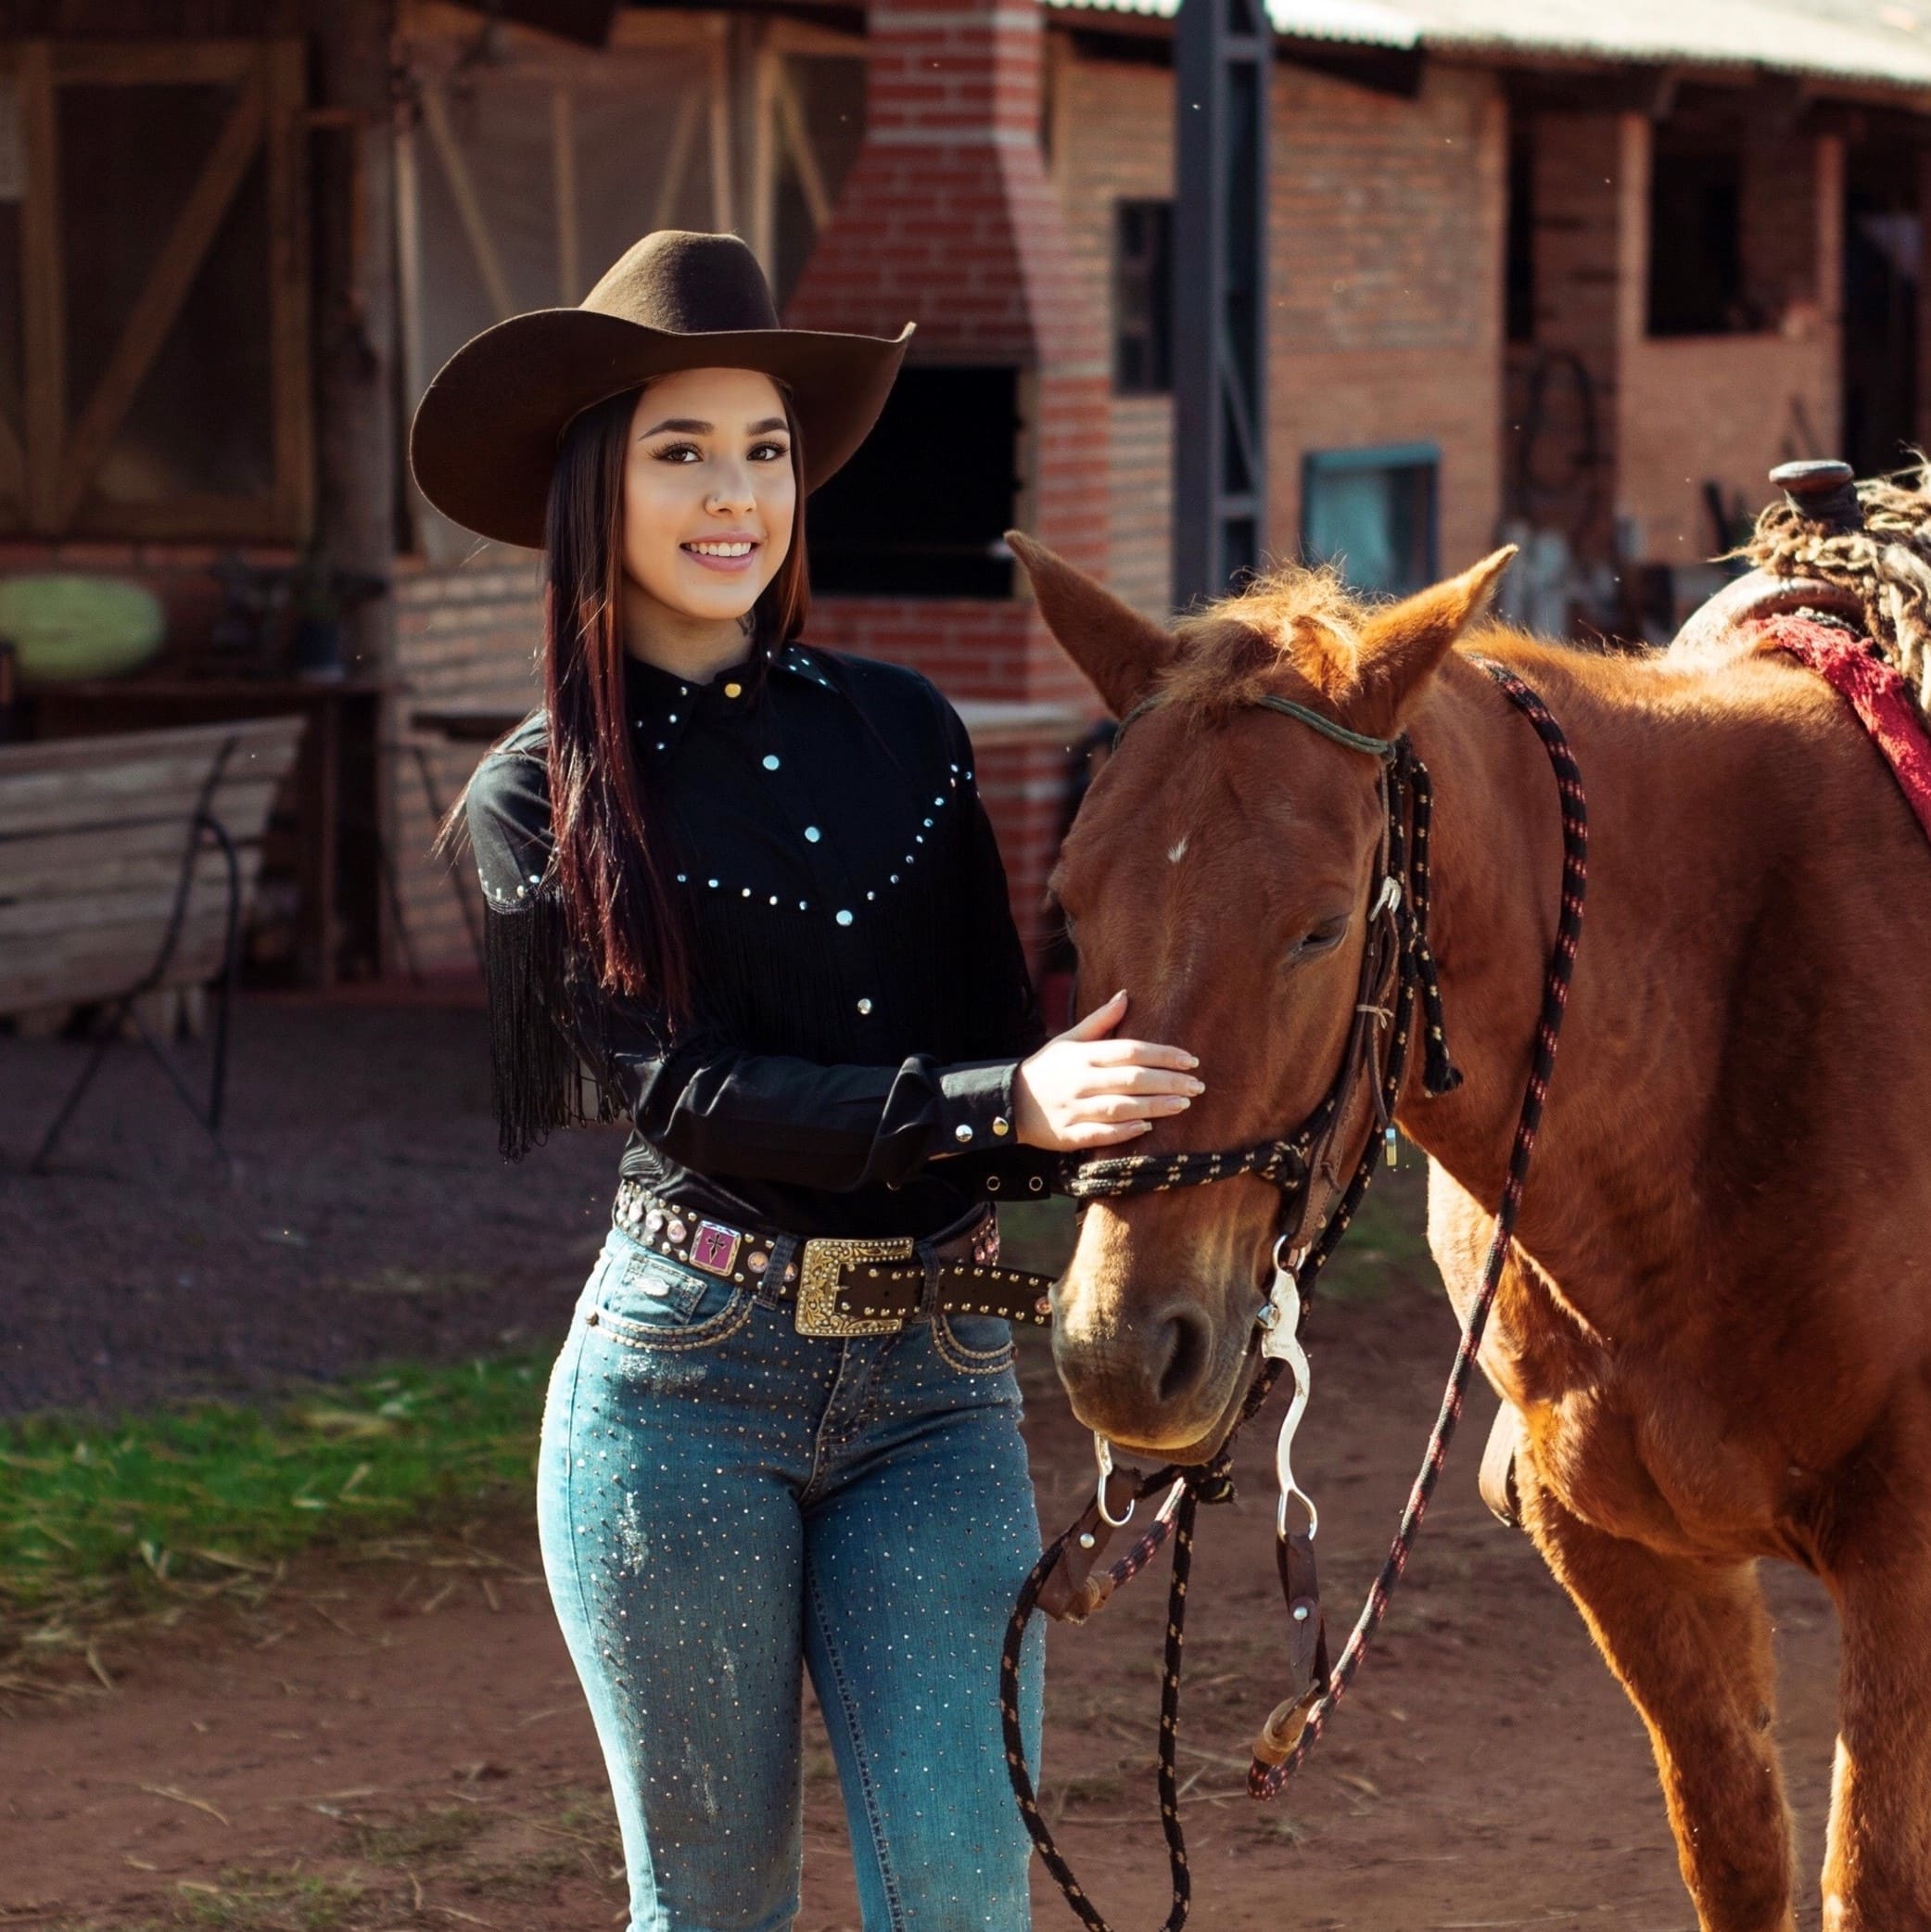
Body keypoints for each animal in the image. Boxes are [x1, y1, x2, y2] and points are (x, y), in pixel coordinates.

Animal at [1011, 533, 1931, 1932]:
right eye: (1067, 904)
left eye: (1322, 925)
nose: (1121, 1350)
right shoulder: (1620, 1550)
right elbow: (1731, 1846)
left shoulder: (1902, 1564)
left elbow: (1867, 1879)